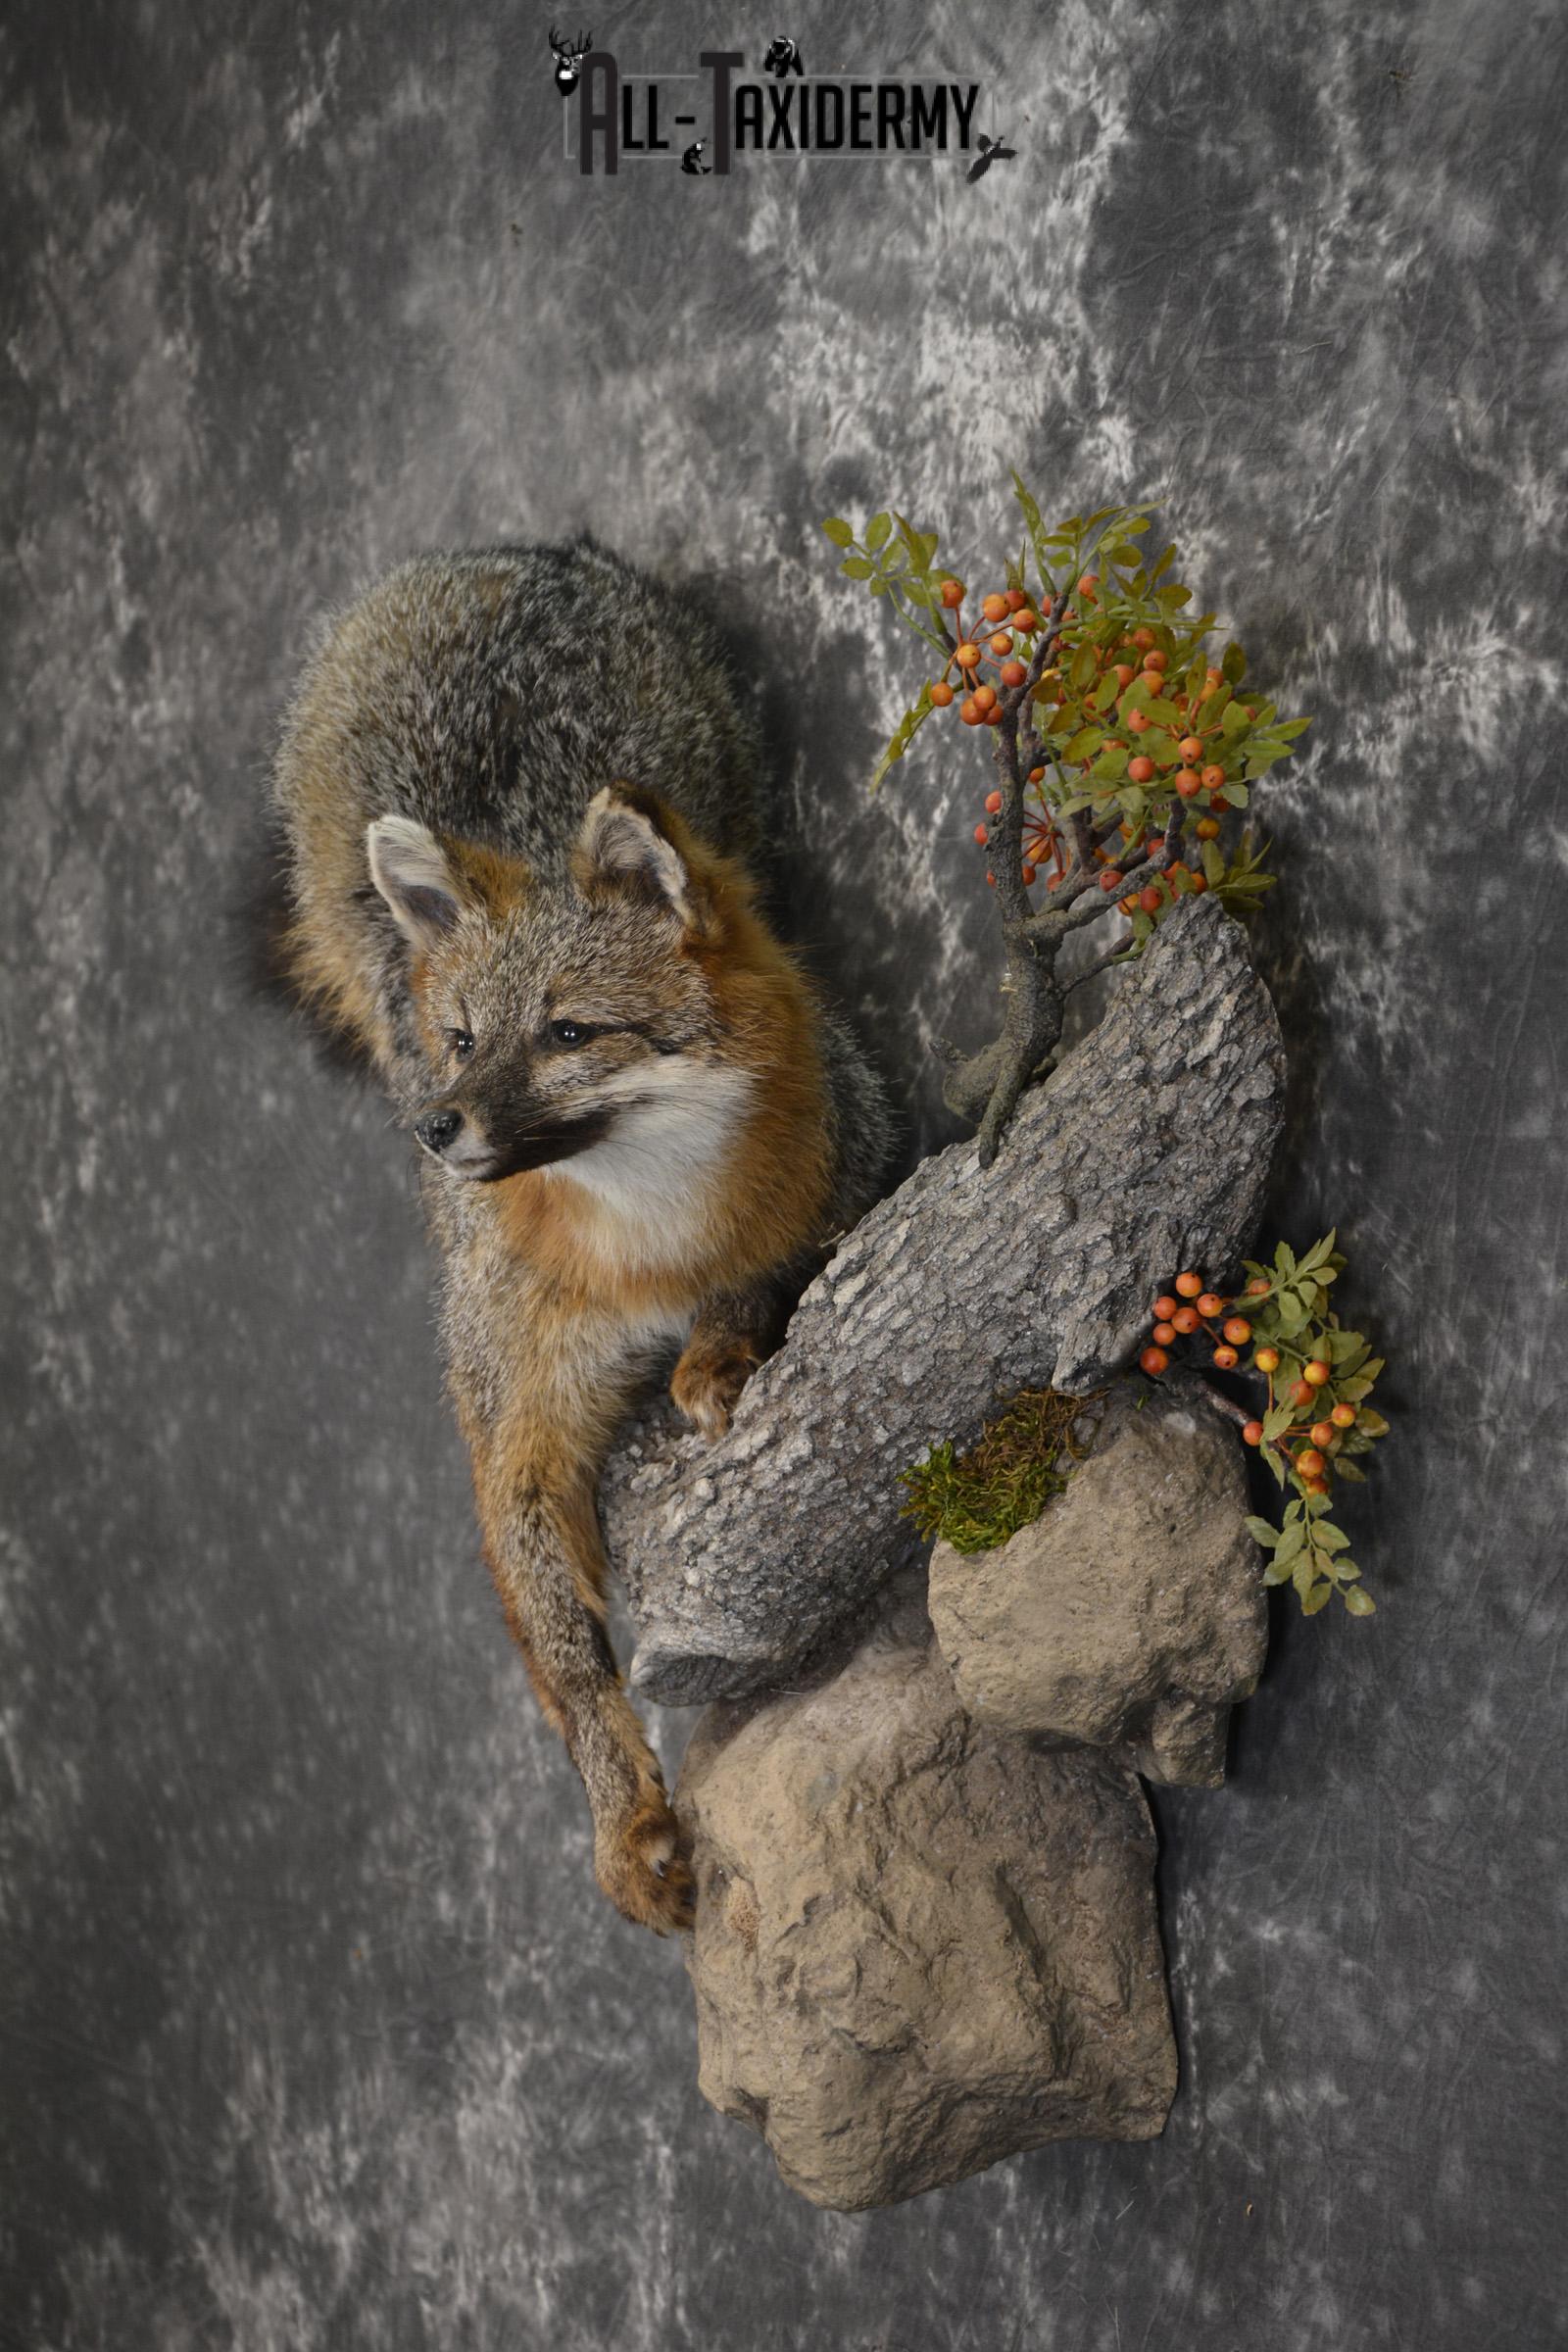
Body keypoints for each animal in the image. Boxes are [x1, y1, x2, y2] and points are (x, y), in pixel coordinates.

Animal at [271, 540, 892, 1935]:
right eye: (461, 1039)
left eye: (567, 1034)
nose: (434, 1126)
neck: (645, 1237)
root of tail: (524, 553)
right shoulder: (515, 1423)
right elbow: (562, 1663)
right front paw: (622, 1820)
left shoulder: (862, 1151)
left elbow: (770, 1271)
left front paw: (716, 1350)